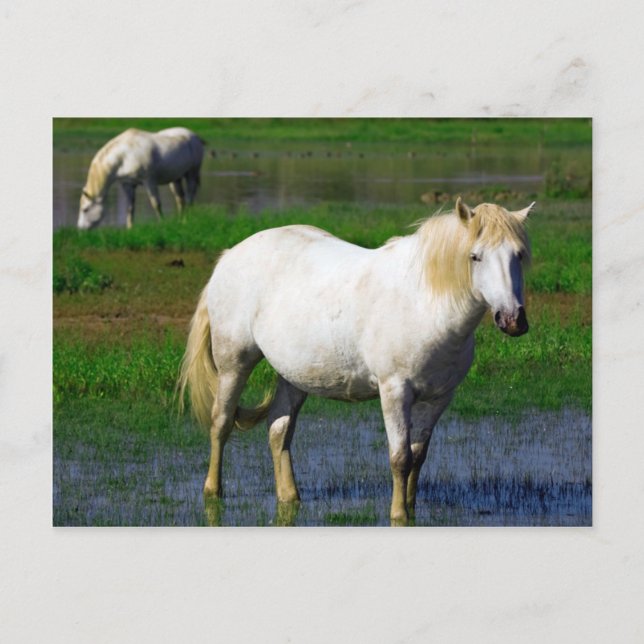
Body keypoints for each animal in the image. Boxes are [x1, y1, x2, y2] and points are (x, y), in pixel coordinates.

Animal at [177, 197, 534, 525]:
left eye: (518, 255)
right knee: (221, 422)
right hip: (234, 363)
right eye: (475, 256)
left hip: (293, 377)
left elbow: (418, 457)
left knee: (279, 429)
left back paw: (289, 497)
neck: (424, 303)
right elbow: (400, 458)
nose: (513, 320)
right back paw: (213, 492)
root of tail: (229, 256)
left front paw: (411, 509)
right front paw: (398, 515)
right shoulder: (394, 392)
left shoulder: (438, 399)